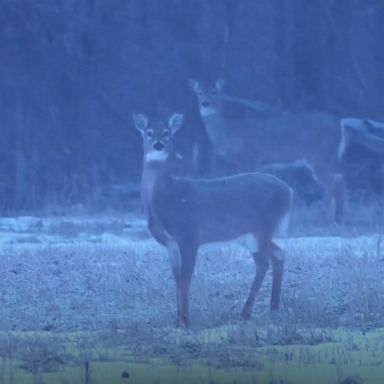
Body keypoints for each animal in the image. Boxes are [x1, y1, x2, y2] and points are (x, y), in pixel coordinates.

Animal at [134, 111, 292, 328]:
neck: (164, 198)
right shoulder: (171, 244)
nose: (158, 144)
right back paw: (273, 307)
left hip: (262, 228)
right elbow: (176, 276)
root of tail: (289, 191)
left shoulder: (189, 236)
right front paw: (177, 318)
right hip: (249, 236)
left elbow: (186, 276)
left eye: (167, 132)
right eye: (149, 132)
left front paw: (186, 319)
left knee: (263, 263)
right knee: (279, 254)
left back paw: (246, 312)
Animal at [189, 79, 348, 224]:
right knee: (340, 179)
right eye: (199, 93)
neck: (230, 132)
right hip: (330, 157)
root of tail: (338, 123)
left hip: (319, 156)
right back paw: (338, 218)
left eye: (214, 92)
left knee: (330, 181)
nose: (205, 103)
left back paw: (324, 218)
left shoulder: (250, 157)